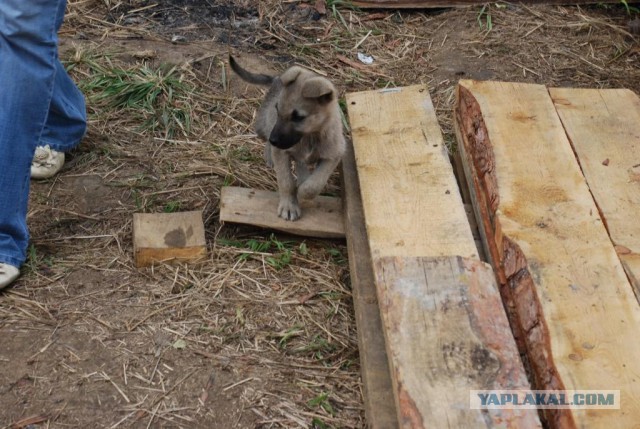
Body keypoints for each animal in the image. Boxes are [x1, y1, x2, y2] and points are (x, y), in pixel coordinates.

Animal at [226, 56, 342, 221]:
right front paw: (289, 206)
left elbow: (314, 185)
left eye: (298, 117)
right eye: (277, 109)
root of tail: (276, 79)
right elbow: (286, 182)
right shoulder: (281, 152)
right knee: (266, 140)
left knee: (300, 163)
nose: (274, 140)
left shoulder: (333, 155)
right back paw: (269, 157)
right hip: (261, 127)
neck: (309, 136)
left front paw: (303, 190)